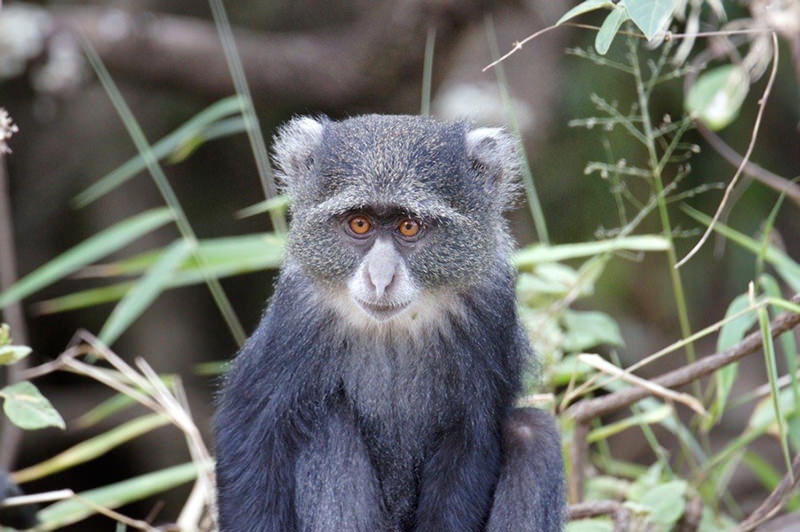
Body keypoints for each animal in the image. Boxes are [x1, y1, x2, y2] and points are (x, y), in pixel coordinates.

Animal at [216, 114, 564, 528]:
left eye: (409, 226)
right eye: (360, 224)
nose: (380, 279)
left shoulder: (489, 311)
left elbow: (470, 445)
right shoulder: (297, 313)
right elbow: (250, 435)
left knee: (533, 432)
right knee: (328, 419)